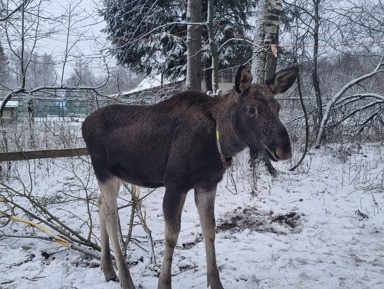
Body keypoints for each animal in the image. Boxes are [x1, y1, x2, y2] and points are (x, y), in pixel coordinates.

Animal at [81, 65, 298, 288]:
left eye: (278, 107)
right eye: (252, 109)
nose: (284, 150)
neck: (220, 142)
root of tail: (84, 124)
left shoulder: (207, 184)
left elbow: (209, 229)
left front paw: (215, 281)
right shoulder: (175, 184)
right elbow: (171, 236)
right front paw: (164, 282)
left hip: (115, 175)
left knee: (100, 203)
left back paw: (108, 269)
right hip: (103, 171)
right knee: (110, 213)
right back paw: (125, 278)